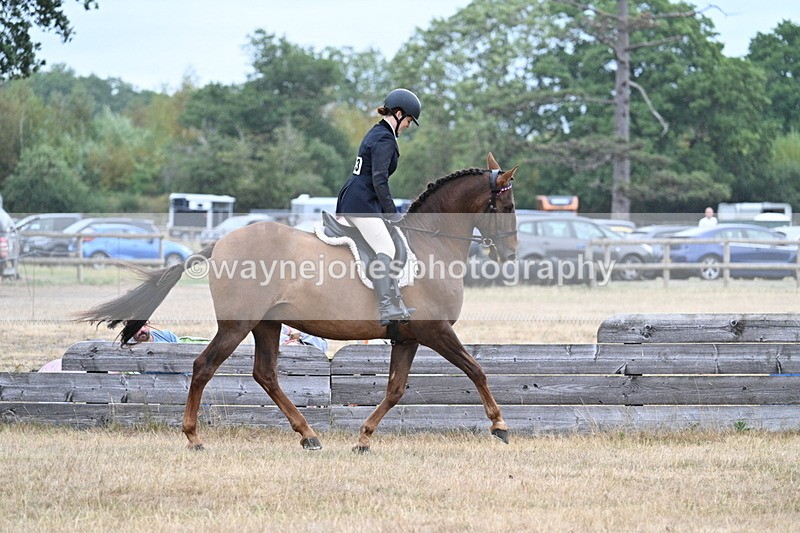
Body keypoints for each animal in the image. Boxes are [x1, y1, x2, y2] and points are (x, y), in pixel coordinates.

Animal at [77, 152, 519, 452]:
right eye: (509, 207)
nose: (511, 254)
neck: (433, 243)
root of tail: (221, 242)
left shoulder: (407, 338)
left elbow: (395, 390)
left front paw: (364, 438)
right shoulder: (435, 331)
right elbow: (477, 370)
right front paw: (500, 426)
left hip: (267, 324)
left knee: (266, 375)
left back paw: (308, 435)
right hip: (238, 324)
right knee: (204, 367)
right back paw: (194, 438)